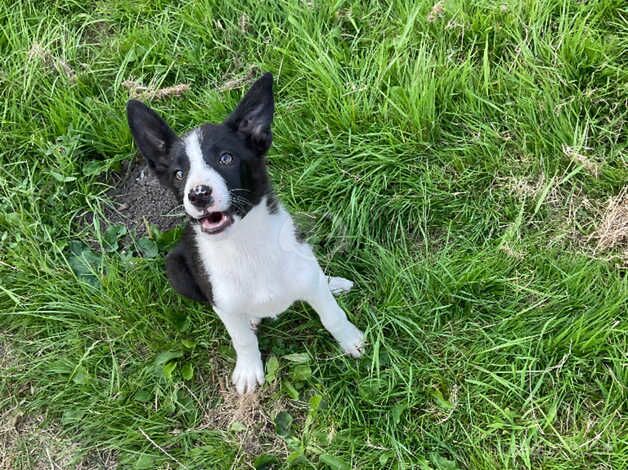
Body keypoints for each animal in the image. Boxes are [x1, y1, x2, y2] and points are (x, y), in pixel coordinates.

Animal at [125, 73, 366, 394]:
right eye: (179, 174)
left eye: (226, 158)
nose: (197, 194)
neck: (244, 244)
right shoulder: (222, 302)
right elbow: (242, 339)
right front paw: (249, 369)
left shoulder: (306, 274)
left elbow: (331, 315)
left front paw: (351, 340)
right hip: (174, 267)